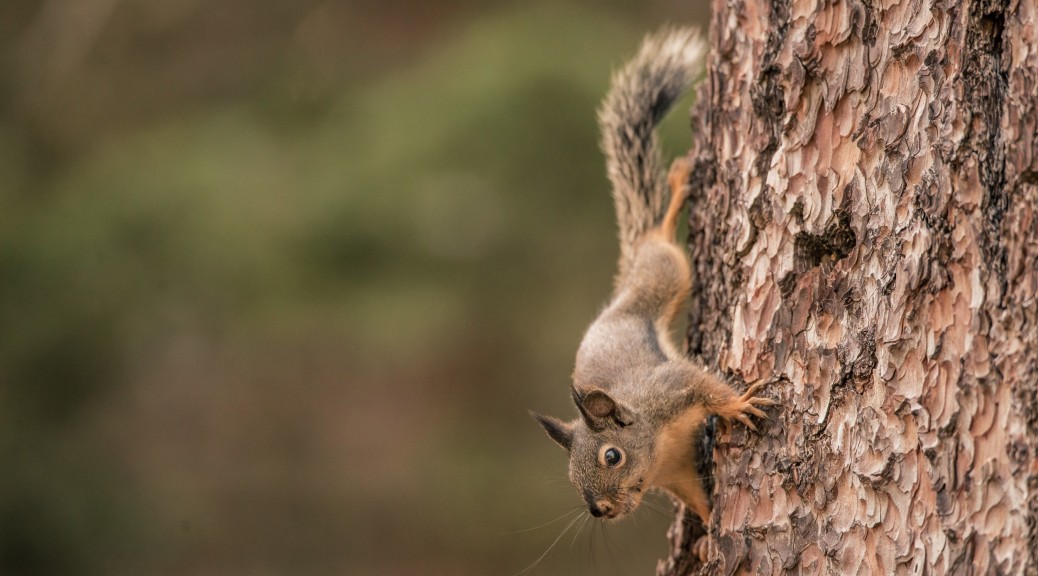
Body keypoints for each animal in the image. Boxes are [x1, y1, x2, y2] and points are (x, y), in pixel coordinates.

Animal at [531, 26, 776, 523]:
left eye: (612, 456)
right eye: (571, 478)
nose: (600, 510)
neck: (657, 444)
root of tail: (623, 285)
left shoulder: (672, 387)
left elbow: (706, 385)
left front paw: (739, 402)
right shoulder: (677, 474)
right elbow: (699, 501)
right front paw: (709, 533)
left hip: (664, 275)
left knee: (659, 240)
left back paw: (674, 196)